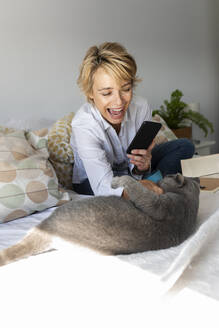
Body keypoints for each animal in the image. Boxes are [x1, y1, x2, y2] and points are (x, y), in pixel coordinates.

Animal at [0, 173, 199, 266]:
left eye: (167, 176)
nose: (162, 176)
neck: (188, 204)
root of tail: (48, 235)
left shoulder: (161, 205)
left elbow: (133, 184)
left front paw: (118, 180)